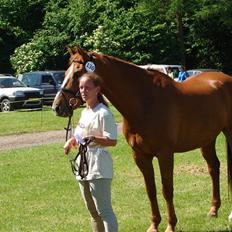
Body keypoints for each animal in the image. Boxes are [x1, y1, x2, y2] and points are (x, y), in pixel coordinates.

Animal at [52, 46, 232, 231]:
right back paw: (213, 210)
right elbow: (150, 190)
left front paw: (171, 225)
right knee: (214, 168)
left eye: (77, 73)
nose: (57, 107)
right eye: (66, 72)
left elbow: (167, 189)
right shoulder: (140, 155)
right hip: (207, 140)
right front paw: (154, 224)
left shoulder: (165, 154)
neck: (144, 102)